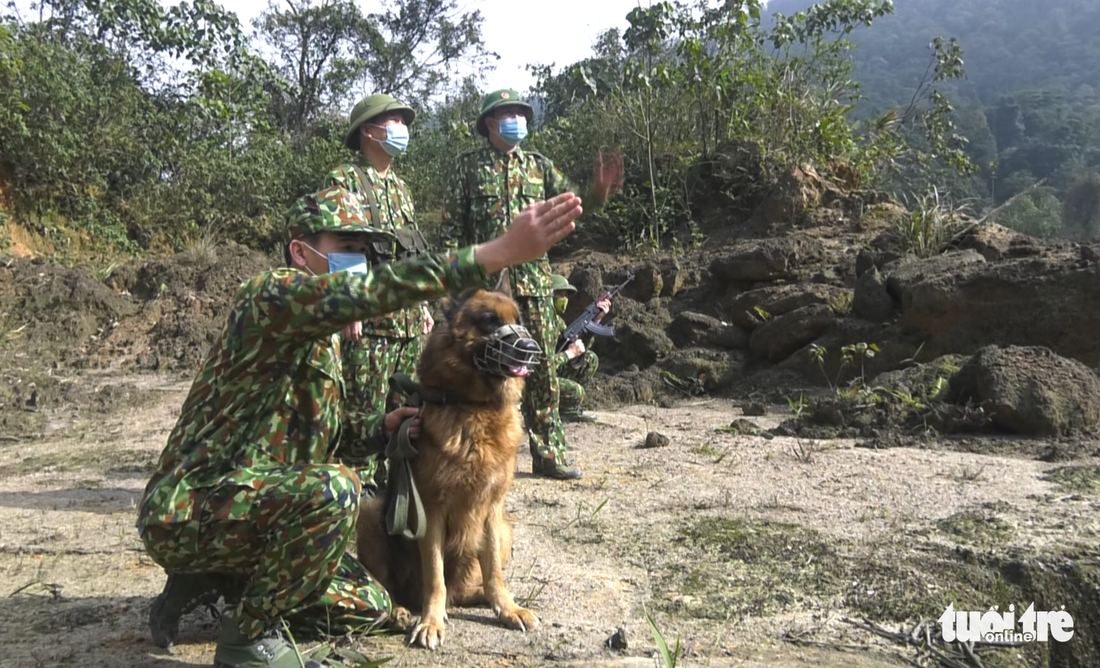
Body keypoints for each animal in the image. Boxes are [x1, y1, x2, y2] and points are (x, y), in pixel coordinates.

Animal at [354, 283, 539, 651]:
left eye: (519, 320)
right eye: (489, 320)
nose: (529, 350)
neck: (475, 408)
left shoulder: (492, 510)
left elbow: (494, 572)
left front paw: (507, 608)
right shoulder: (430, 513)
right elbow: (435, 575)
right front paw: (431, 621)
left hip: (505, 530)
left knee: (468, 588)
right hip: (369, 515)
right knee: (390, 589)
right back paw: (399, 611)